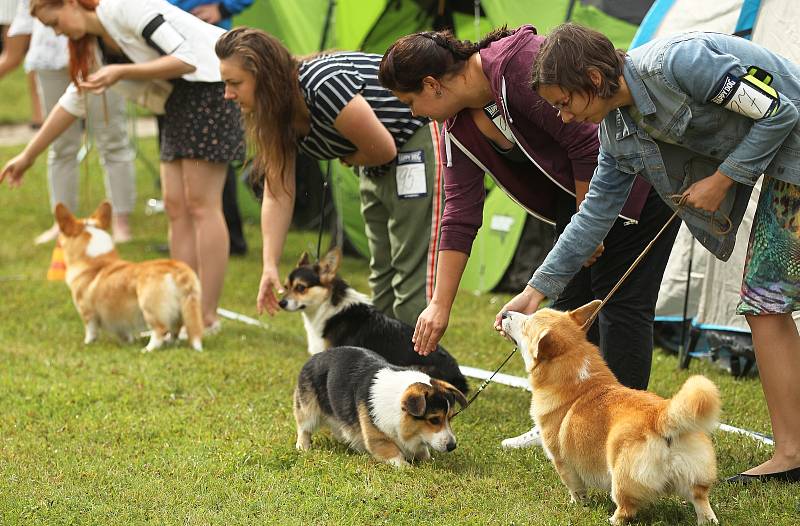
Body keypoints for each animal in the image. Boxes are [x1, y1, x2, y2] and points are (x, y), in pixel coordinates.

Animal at [294, 348, 468, 468]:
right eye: (434, 420)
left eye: (450, 418)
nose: (452, 446)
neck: (398, 408)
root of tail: (315, 356)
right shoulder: (378, 438)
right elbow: (393, 453)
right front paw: (407, 467)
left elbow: (423, 452)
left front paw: (429, 460)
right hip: (308, 408)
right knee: (304, 428)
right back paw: (303, 447)